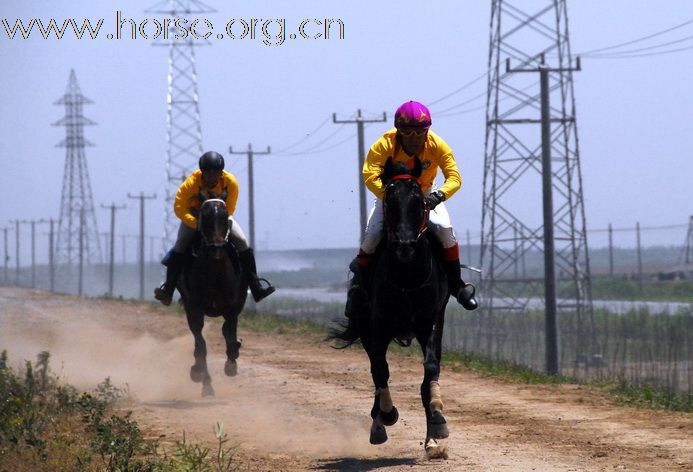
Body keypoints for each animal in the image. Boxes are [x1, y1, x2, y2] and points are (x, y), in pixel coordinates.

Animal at [174, 197, 247, 396]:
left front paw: (232, 362)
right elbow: (201, 345)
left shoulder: (234, 306)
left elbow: (229, 333)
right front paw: (199, 375)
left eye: (224, 216)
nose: (217, 248)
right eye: (205, 217)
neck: (215, 271)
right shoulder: (193, 307)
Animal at [332, 158, 452, 458]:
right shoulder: (377, 325)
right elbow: (380, 371)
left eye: (419, 200)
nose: (405, 245)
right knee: (377, 373)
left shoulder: (430, 320)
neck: (406, 275)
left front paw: (437, 424)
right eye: (389, 199)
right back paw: (378, 424)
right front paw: (386, 415)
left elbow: (430, 370)